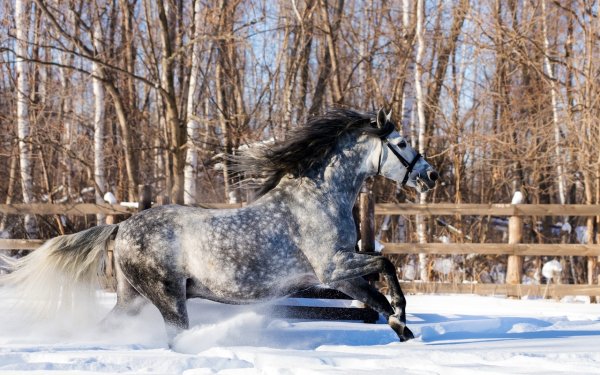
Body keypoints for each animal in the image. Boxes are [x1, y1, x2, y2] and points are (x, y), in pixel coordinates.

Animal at [2, 108, 438, 344]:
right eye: (401, 143)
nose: (431, 175)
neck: (318, 198)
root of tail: (122, 228)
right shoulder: (332, 267)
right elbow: (386, 268)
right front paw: (402, 316)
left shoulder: (341, 276)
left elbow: (375, 298)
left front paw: (403, 329)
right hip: (168, 297)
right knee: (175, 334)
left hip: (133, 298)